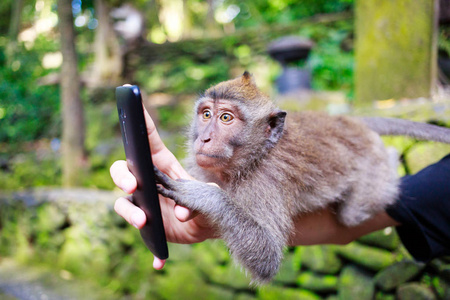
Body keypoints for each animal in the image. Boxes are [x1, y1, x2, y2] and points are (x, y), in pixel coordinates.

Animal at [152, 72, 450, 284]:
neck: (256, 155)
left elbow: (268, 255)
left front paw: (204, 196)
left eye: (226, 118)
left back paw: (392, 157)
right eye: (206, 114)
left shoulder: (266, 181)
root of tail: (350, 121)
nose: (204, 138)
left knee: (353, 213)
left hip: (371, 164)